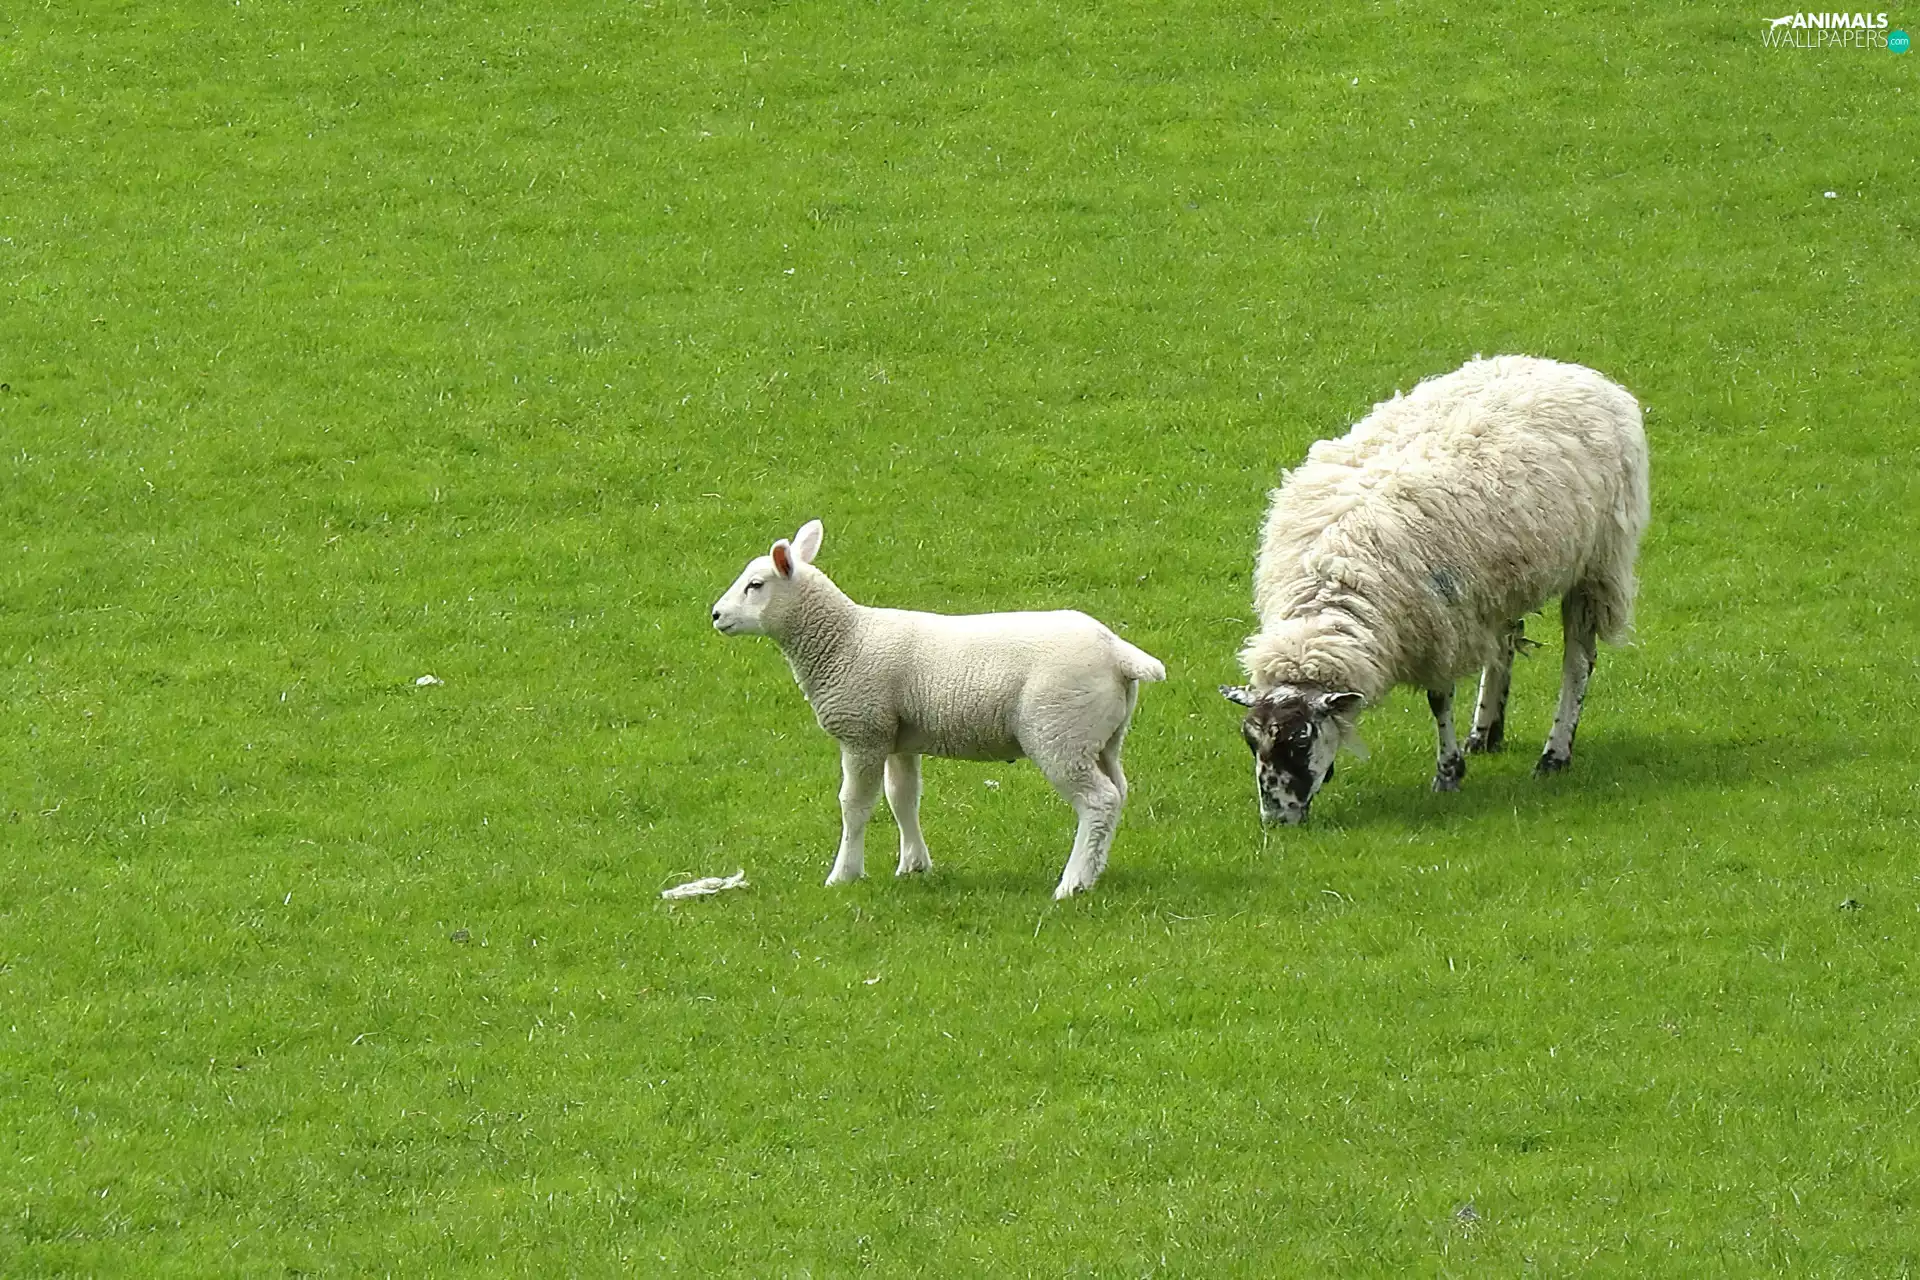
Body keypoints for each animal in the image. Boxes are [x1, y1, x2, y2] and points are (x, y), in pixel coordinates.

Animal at [711, 519, 1167, 898]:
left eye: (755, 585)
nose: (716, 615)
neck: (845, 640)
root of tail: (1119, 654)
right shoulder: (897, 736)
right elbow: (902, 798)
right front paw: (913, 865)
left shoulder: (863, 732)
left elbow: (855, 806)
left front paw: (844, 874)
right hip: (1101, 736)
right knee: (1118, 793)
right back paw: (1094, 870)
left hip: (1059, 732)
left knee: (1098, 801)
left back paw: (1071, 884)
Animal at [1220, 355, 1650, 824]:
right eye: (1250, 741)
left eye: (1300, 741)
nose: (1277, 821)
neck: (1333, 583)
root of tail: (1572, 369)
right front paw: (1461, 756)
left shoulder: (1437, 626)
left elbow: (1438, 699)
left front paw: (1448, 773)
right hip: (1499, 582)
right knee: (1505, 643)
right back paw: (1485, 732)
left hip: (1596, 564)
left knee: (1578, 662)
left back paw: (1554, 754)